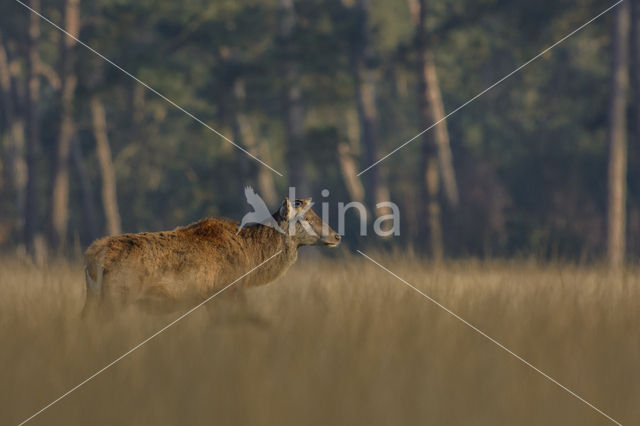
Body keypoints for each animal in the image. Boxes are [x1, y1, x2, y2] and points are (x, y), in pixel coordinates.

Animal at [81, 198, 340, 318]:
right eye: (305, 218)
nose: (337, 235)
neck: (252, 258)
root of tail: (91, 258)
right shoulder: (227, 291)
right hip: (117, 297)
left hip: (92, 298)